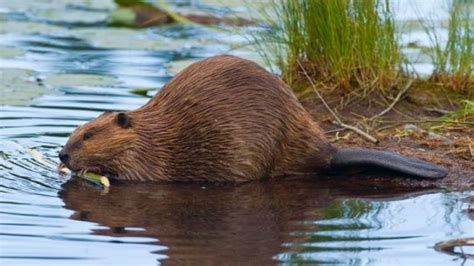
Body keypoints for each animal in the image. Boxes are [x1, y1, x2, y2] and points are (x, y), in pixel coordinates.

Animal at [59, 55, 448, 182]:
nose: (62, 153)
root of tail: (330, 152)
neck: (149, 131)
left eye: (89, 135)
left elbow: (136, 175)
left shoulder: (149, 156)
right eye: (76, 130)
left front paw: (84, 170)